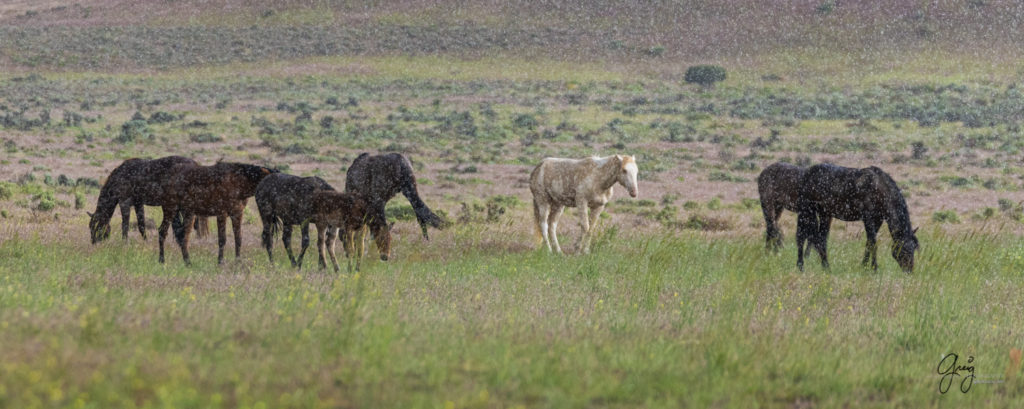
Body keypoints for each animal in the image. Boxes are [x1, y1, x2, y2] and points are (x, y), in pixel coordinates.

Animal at [790, 162, 921, 272]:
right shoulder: (868, 218)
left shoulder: (877, 219)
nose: (909, 271)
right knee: (802, 237)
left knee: (820, 239)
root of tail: (807, 174)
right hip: (807, 211)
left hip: (824, 214)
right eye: (905, 249)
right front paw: (874, 268)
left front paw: (864, 266)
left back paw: (825, 266)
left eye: (914, 248)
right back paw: (801, 266)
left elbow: (869, 242)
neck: (879, 188)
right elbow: (873, 242)